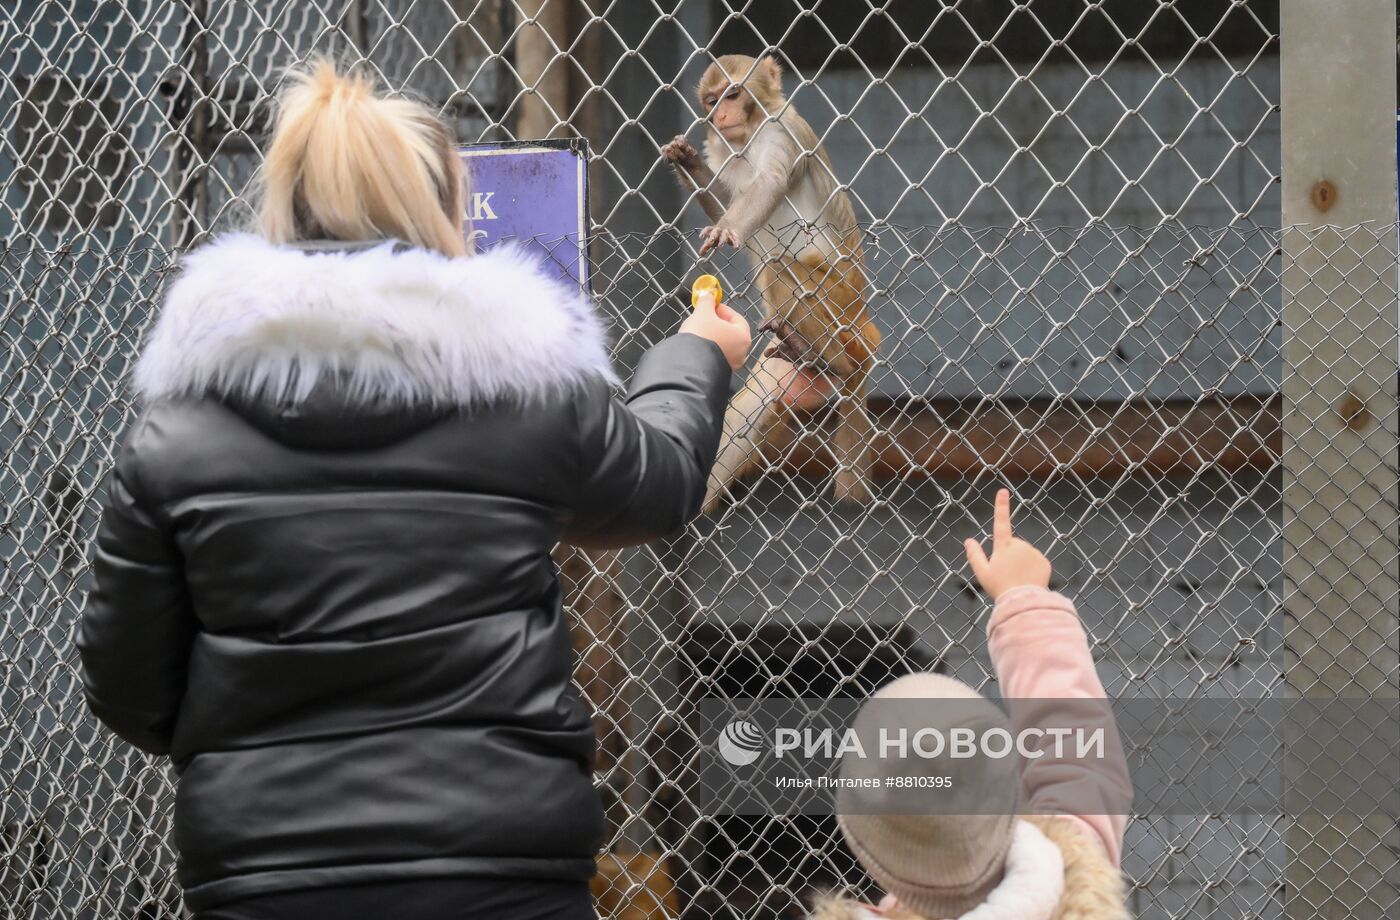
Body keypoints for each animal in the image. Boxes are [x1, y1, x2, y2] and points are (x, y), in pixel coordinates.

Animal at [660, 52, 879, 509]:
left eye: (733, 93)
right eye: (711, 100)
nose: (719, 115)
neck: (747, 138)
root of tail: (862, 317)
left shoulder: (782, 132)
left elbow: (769, 183)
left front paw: (727, 230)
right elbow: (728, 196)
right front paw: (687, 160)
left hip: (838, 301)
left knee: (780, 267)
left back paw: (832, 361)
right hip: (782, 360)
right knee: (745, 416)